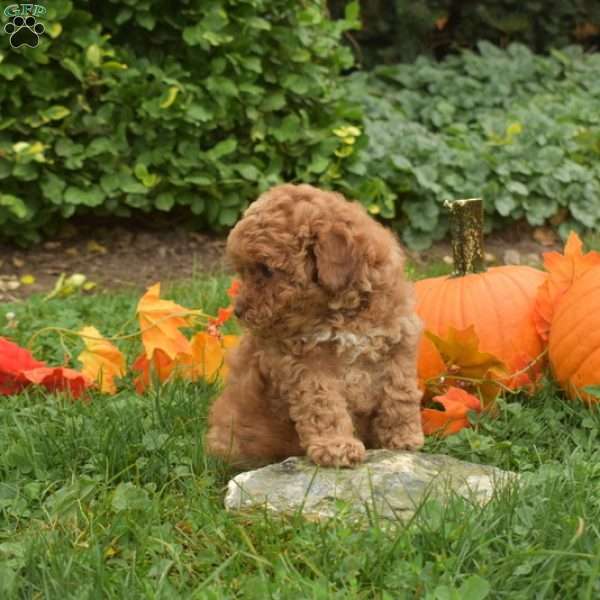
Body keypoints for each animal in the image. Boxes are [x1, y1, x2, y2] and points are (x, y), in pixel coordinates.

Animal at [205, 183, 422, 468]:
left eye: (267, 270)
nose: (239, 312)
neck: (345, 312)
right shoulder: (307, 364)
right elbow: (324, 405)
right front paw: (336, 447)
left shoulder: (398, 342)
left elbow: (399, 394)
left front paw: (403, 438)